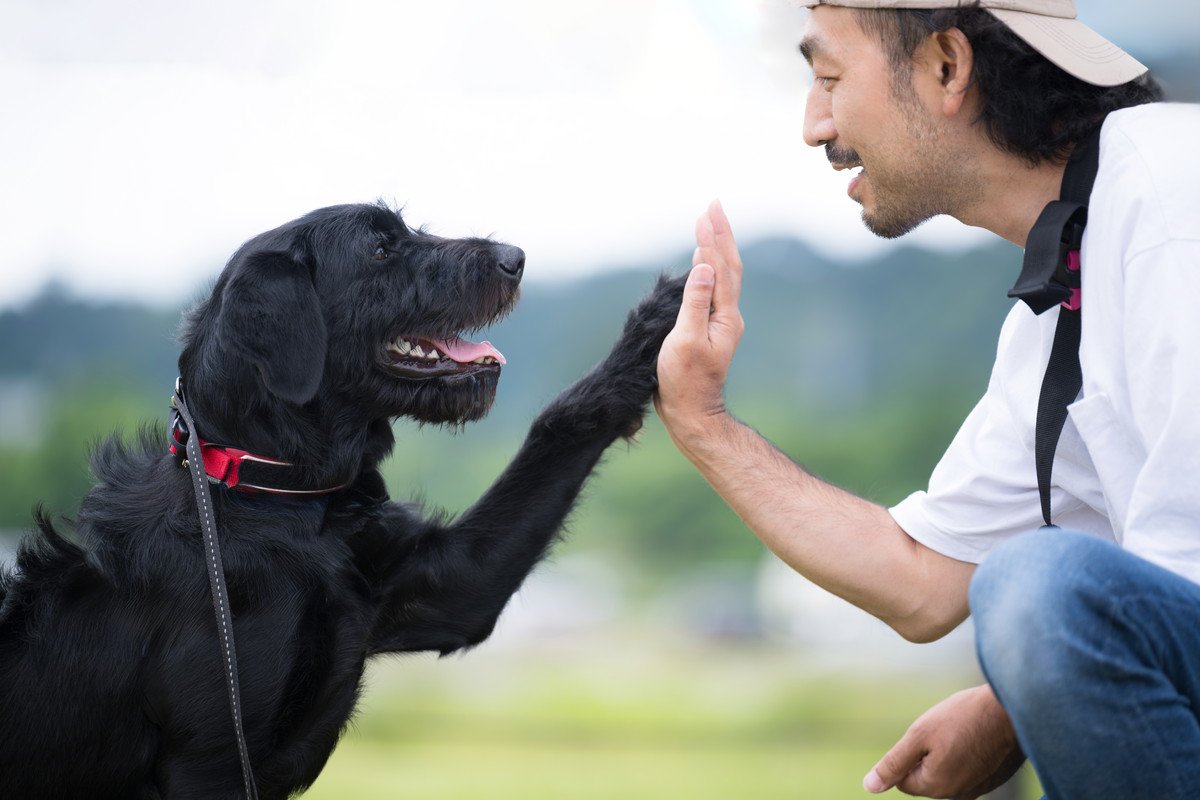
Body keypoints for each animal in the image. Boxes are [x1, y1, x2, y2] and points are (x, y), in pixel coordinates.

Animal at [0, 203, 686, 796]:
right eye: (380, 249)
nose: (515, 257)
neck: (283, 501)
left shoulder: (452, 586)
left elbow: (559, 423)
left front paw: (659, 323)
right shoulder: (210, 760)